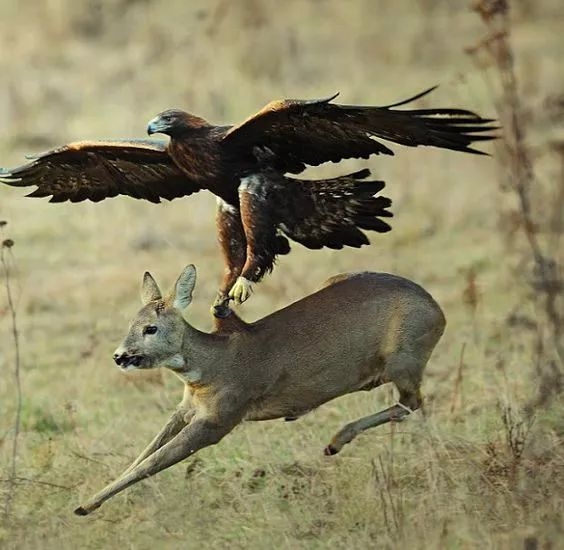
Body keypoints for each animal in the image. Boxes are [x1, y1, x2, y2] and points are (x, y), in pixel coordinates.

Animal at [74, 264, 446, 516]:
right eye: (131, 324)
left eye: (150, 328)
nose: (120, 356)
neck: (213, 365)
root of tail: (438, 312)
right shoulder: (187, 406)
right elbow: (144, 452)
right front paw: (93, 498)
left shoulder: (222, 416)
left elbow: (152, 461)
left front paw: (84, 505)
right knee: (408, 402)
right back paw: (333, 441)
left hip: (404, 358)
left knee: (413, 402)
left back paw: (336, 441)